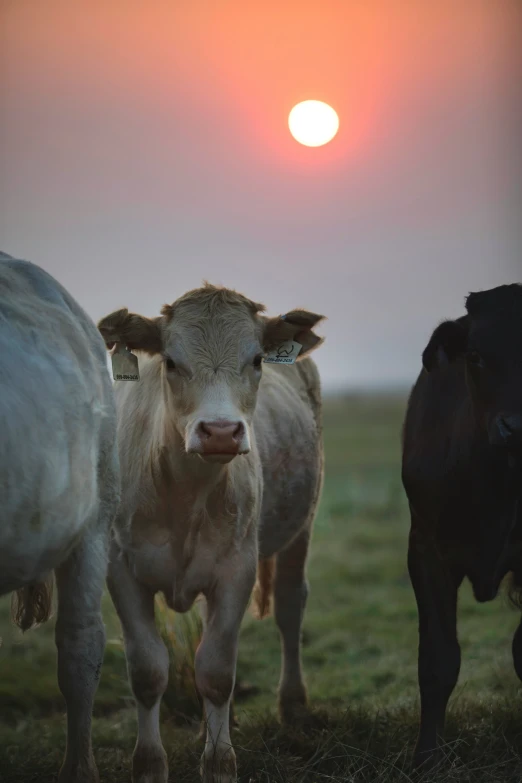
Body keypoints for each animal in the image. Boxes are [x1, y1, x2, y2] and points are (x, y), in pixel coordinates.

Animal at [96, 286, 324, 783]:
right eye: (171, 361)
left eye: (256, 359)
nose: (220, 431)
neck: (182, 492)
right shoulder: (121, 569)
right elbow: (148, 671)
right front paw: (149, 764)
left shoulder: (237, 569)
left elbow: (217, 671)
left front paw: (220, 763)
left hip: (301, 525)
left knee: (290, 606)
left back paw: (294, 706)